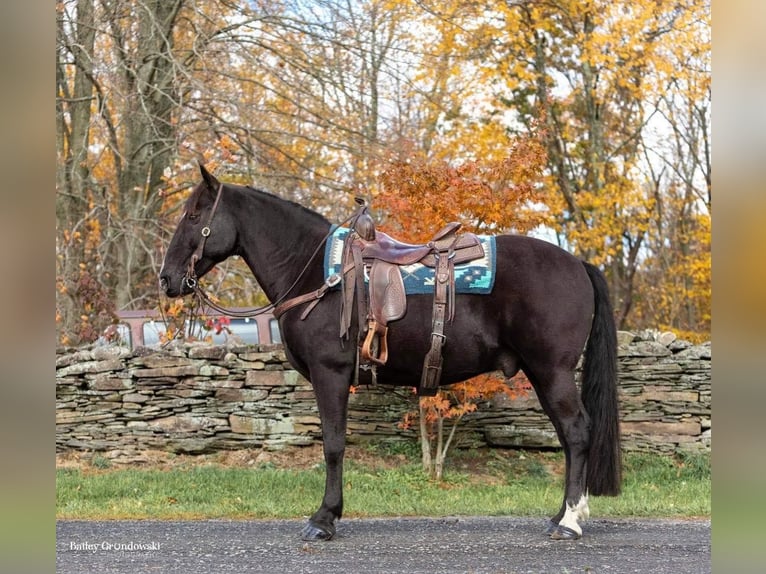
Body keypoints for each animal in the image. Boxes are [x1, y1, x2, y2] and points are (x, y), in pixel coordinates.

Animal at [162, 164, 624, 544]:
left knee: (577, 432)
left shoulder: (331, 374)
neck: (315, 274)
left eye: (194, 216)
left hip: (552, 371)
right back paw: (561, 515)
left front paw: (324, 519)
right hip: (544, 373)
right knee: (568, 437)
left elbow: (333, 445)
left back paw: (570, 522)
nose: (167, 279)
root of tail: (579, 264)